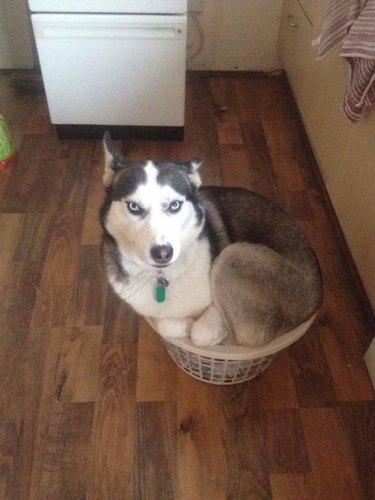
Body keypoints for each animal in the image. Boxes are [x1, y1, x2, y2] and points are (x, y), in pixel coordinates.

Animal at [100, 131, 324, 346]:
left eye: (175, 205)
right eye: (133, 207)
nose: (163, 253)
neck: (162, 276)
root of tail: (316, 298)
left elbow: (200, 332)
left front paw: (194, 327)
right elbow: (164, 325)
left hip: (233, 254)